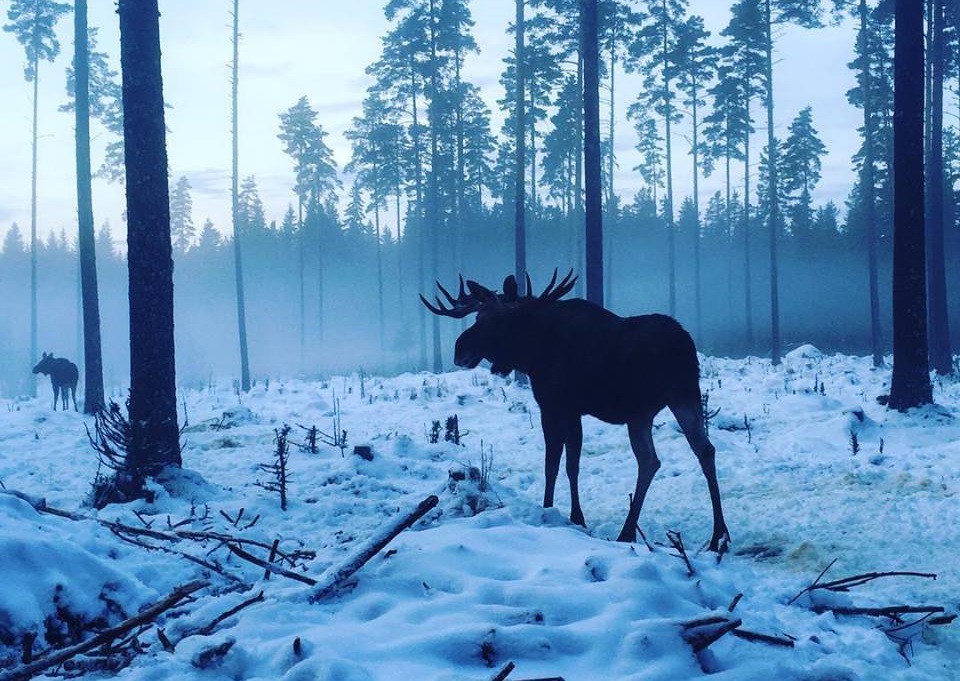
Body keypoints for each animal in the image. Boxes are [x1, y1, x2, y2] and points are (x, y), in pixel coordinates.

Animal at [420, 268, 728, 548]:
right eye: (477, 316)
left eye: (496, 319)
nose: (460, 350)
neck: (531, 355)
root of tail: (683, 344)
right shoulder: (568, 410)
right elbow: (563, 463)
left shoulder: (557, 406)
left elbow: (559, 464)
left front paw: (566, 514)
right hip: (682, 397)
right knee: (699, 450)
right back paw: (717, 536)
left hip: (643, 409)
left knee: (652, 459)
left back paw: (629, 531)